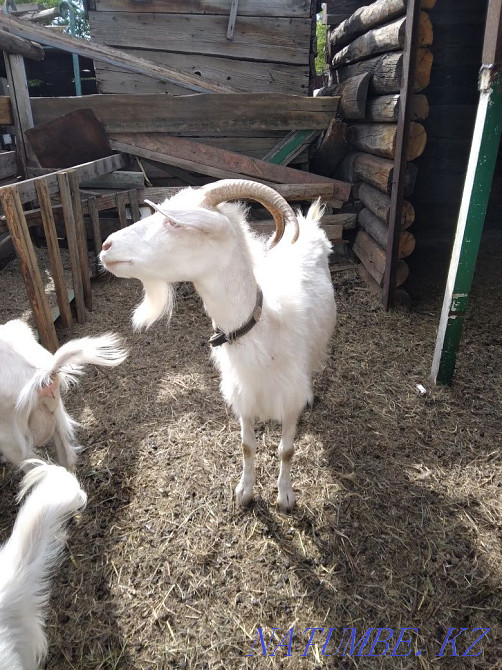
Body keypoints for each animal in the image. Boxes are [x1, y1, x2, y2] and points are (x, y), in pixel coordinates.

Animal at [100, 180, 336, 512]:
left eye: (174, 222)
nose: (106, 246)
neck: (261, 326)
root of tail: (310, 222)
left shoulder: (289, 401)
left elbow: (286, 450)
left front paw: (285, 496)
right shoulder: (243, 397)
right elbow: (247, 446)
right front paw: (245, 491)